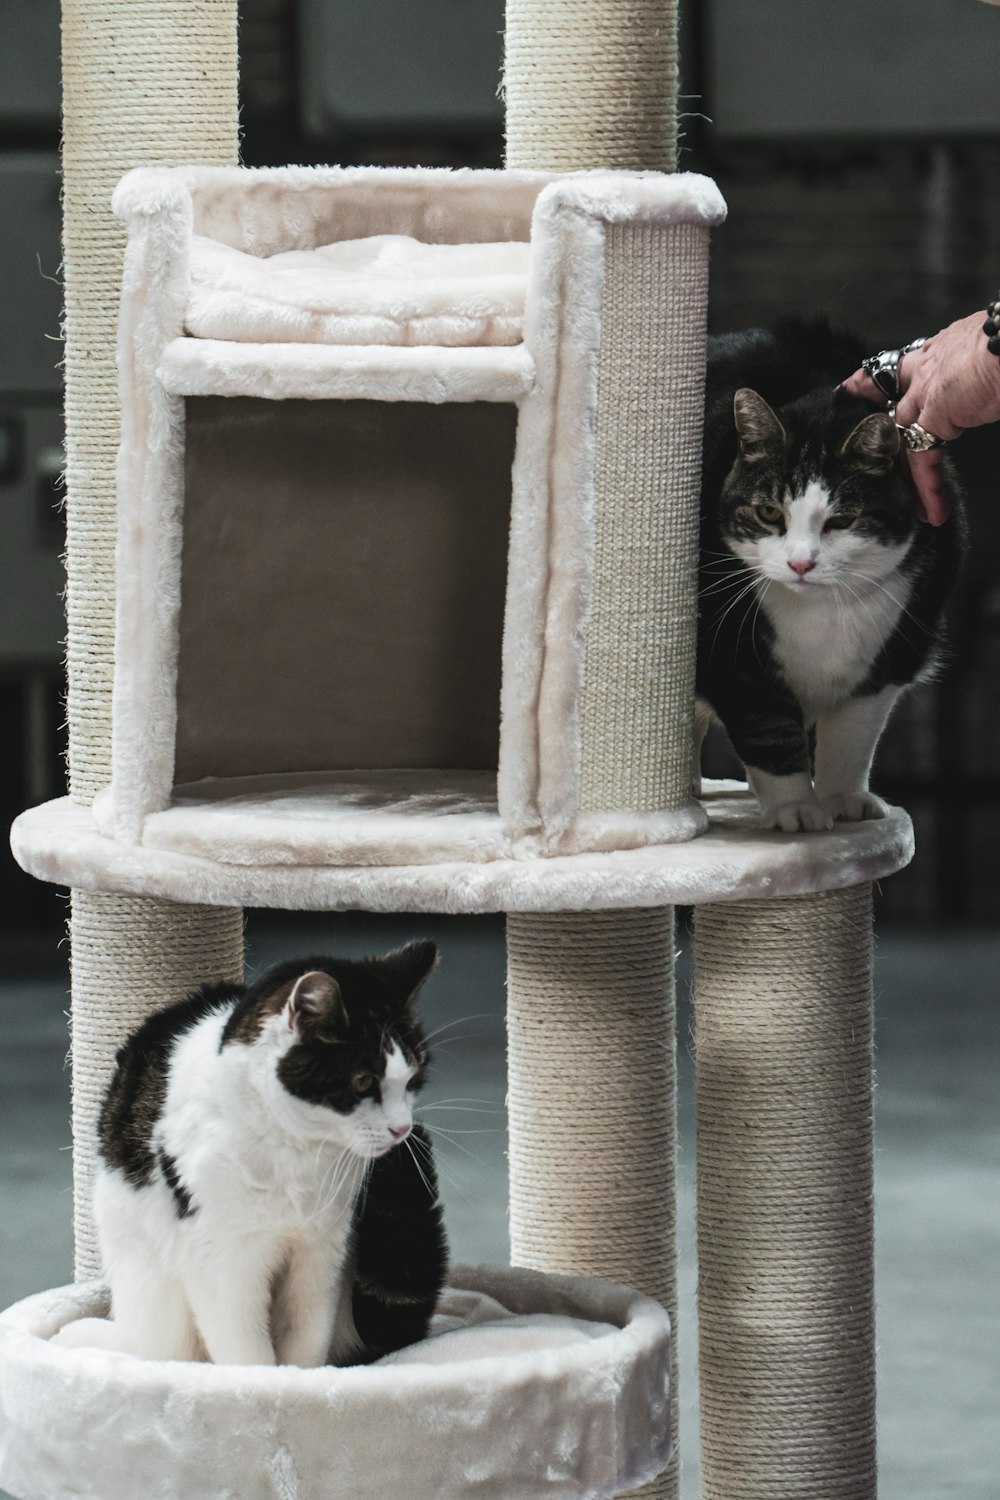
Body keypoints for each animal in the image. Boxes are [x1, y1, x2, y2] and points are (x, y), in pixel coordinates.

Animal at [52, 942, 446, 1368]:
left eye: (413, 1079)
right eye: (362, 1081)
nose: (402, 1128)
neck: (298, 1153)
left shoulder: (321, 1250)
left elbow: (306, 1335)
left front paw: (299, 1379)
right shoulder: (224, 1260)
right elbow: (245, 1352)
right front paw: (260, 1382)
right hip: (154, 1299)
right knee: (155, 1346)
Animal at [695, 322, 959, 834]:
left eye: (842, 521)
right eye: (768, 512)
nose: (800, 563)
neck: (819, 612)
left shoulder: (891, 657)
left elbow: (853, 734)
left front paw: (844, 800)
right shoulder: (731, 653)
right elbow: (768, 729)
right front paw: (795, 809)